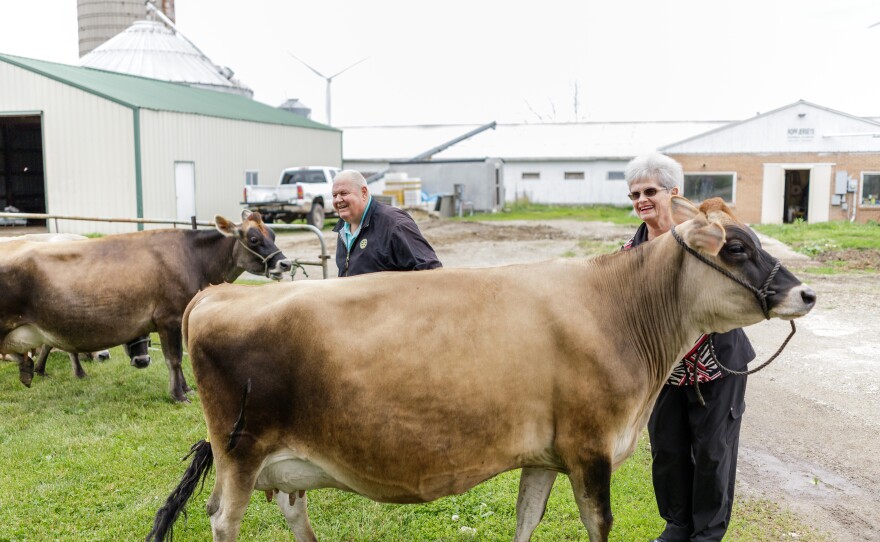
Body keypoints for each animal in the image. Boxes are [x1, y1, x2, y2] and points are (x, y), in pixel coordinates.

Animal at [0, 210, 290, 402]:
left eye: (274, 234)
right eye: (253, 239)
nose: (285, 264)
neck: (194, 260)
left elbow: (176, 360)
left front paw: (186, 389)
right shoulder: (169, 317)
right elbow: (174, 359)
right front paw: (178, 395)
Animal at [148, 198, 816, 540]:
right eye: (737, 247)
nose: (805, 293)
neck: (619, 310)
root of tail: (215, 295)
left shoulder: (547, 453)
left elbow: (527, 519)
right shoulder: (591, 448)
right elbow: (598, 524)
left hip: (279, 456)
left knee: (290, 505)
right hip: (241, 450)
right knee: (223, 517)